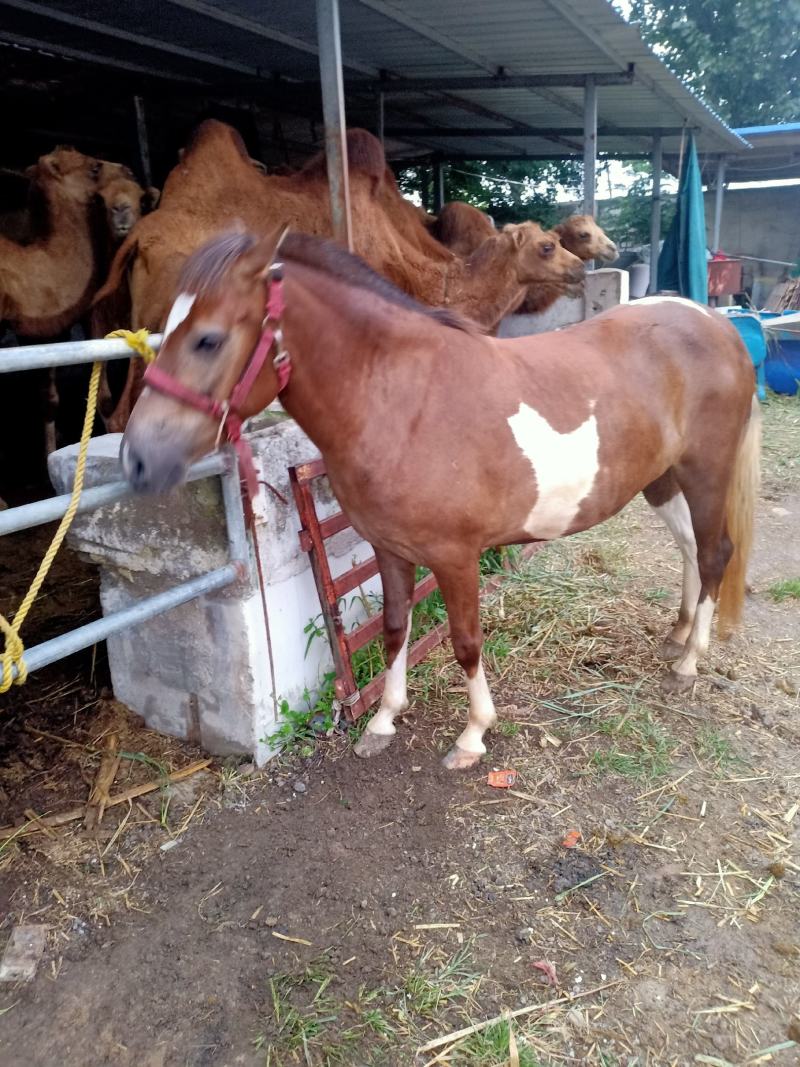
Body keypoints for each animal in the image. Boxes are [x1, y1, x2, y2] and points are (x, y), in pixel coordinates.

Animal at [121, 229, 760, 771]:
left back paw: (689, 662)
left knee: (714, 554)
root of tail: (717, 324)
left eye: (208, 339)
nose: (137, 460)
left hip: (705, 472)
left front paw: (473, 735)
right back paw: (677, 635)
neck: (403, 399)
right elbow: (394, 629)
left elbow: (465, 642)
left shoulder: (455, 559)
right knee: (689, 549)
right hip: (663, 479)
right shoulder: (389, 549)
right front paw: (382, 722)